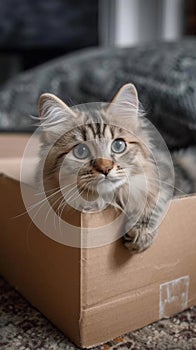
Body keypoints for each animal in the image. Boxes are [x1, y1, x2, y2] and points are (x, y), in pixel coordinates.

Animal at [36, 83, 196, 253]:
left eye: (118, 146)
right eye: (81, 151)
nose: (105, 169)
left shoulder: (165, 175)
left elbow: (153, 199)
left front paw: (140, 235)